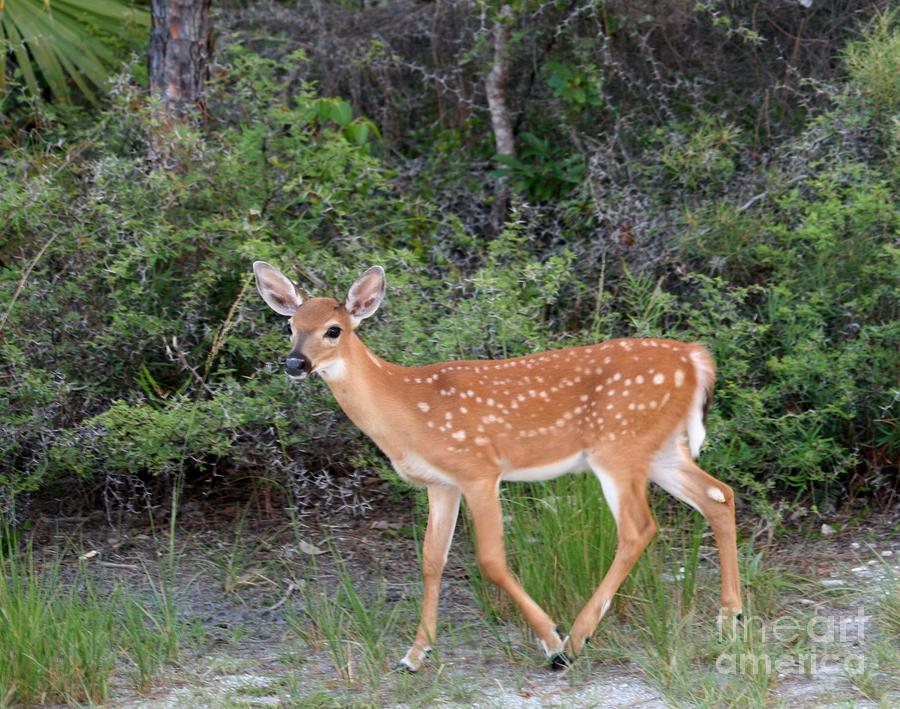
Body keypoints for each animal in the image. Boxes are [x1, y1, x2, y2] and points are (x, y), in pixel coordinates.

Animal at [251, 260, 740, 668]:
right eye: (290, 325)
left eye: (334, 329)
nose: (295, 363)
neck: (408, 409)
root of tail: (695, 358)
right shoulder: (441, 483)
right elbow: (431, 560)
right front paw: (414, 655)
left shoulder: (478, 469)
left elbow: (490, 558)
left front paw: (550, 639)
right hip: (660, 449)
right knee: (719, 495)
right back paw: (730, 619)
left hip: (619, 446)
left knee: (639, 528)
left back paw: (576, 640)